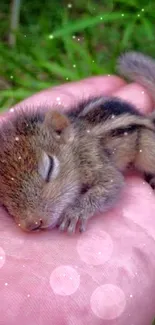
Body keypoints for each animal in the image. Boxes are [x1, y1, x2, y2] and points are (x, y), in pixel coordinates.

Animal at [0, 51, 155, 233]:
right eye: (2, 198)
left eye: (50, 167)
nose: (33, 224)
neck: (75, 147)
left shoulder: (93, 158)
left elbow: (112, 184)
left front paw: (75, 212)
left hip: (147, 149)